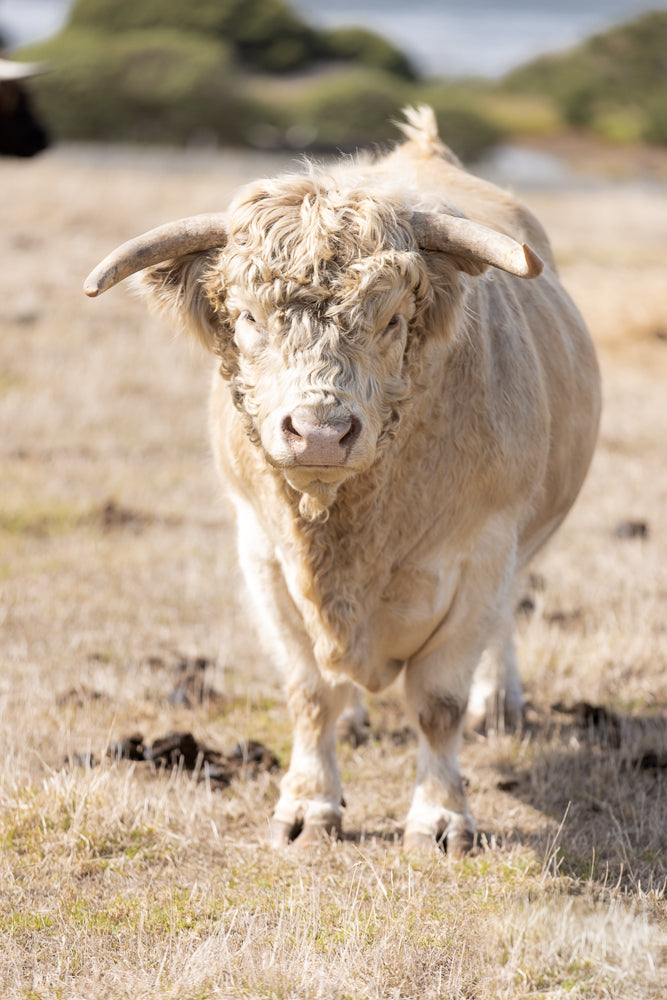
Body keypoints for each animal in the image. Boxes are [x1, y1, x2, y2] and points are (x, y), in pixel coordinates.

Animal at [84, 107, 601, 855]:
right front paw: (308, 804)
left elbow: (438, 702)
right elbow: (309, 693)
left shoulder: (482, 551)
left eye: (392, 320)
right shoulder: (264, 554)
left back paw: (498, 703)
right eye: (247, 317)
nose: (322, 431)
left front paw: (440, 816)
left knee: (505, 622)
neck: (348, 534)